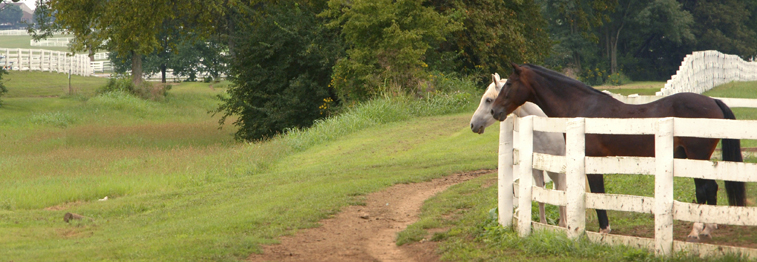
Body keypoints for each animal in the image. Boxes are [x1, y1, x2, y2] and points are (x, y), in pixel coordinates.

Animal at [490, 63, 744, 239]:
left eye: (509, 84)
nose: (494, 111)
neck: (582, 108)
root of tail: (713, 101)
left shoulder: (592, 160)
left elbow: (598, 194)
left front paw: (604, 229)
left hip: (696, 156)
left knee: (704, 190)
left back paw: (697, 230)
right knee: (710, 189)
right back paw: (708, 228)